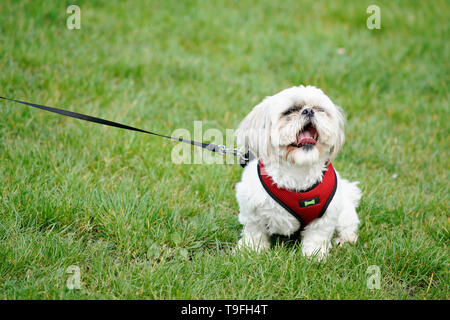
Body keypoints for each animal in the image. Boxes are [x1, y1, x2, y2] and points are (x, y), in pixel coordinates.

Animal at [236, 85, 362, 260]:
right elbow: (255, 231)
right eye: (290, 111)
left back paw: (345, 240)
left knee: (348, 226)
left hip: (344, 213)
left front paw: (314, 256)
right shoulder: (252, 209)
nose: (308, 111)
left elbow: (317, 236)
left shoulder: (325, 216)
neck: (297, 170)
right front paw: (252, 250)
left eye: (319, 109)